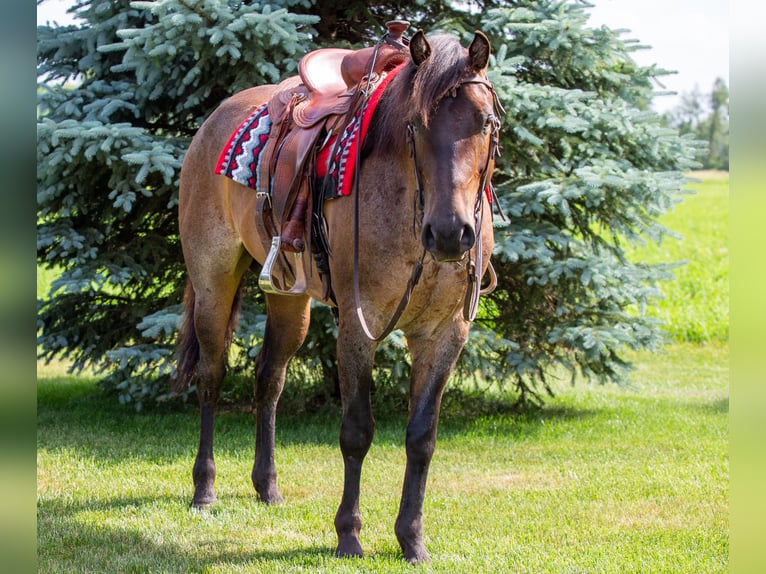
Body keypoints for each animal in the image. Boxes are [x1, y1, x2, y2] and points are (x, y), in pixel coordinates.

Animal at [175, 29, 501, 564]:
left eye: (485, 123)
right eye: (415, 125)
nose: (451, 234)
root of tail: (212, 121)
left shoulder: (444, 334)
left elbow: (422, 437)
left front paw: (412, 539)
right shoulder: (357, 326)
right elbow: (357, 431)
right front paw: (349, 533)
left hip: (290, 300)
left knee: (269, 378)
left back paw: (267, 486)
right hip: (212, 282)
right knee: (211, 374)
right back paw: (204, 489)